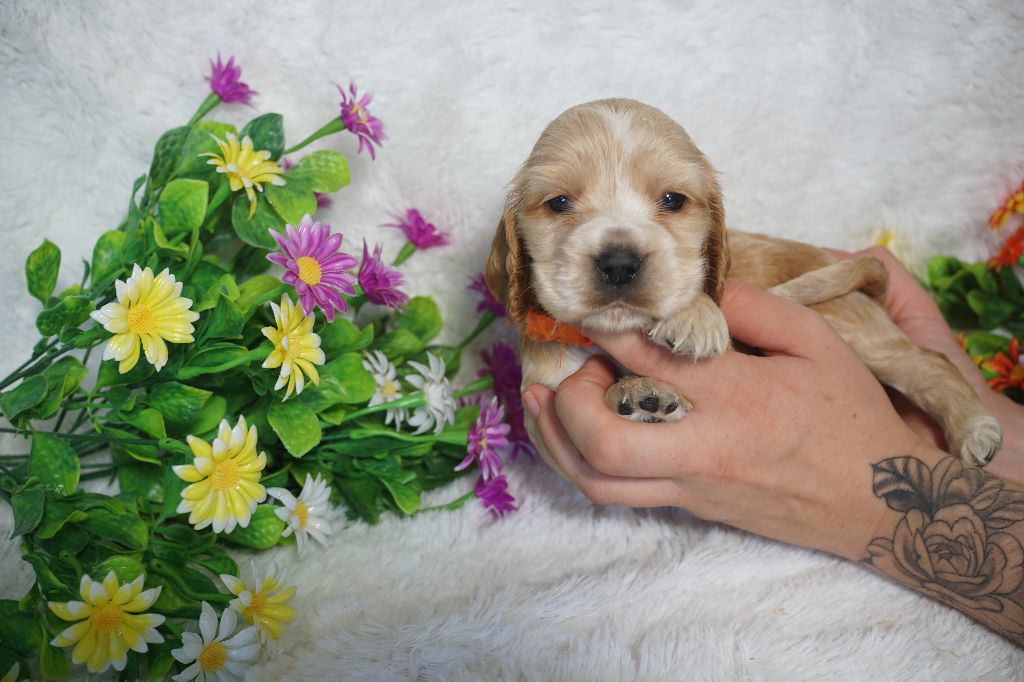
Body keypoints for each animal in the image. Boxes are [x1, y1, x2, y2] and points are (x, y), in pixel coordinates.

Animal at [485, 98, 1003, 470]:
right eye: (558, 203)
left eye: (673, 200)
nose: (617, 263)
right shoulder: (549, 386)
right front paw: (640, 393)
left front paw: (692, 318)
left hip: (850, 323)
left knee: (930, 361)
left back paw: (975, 429)